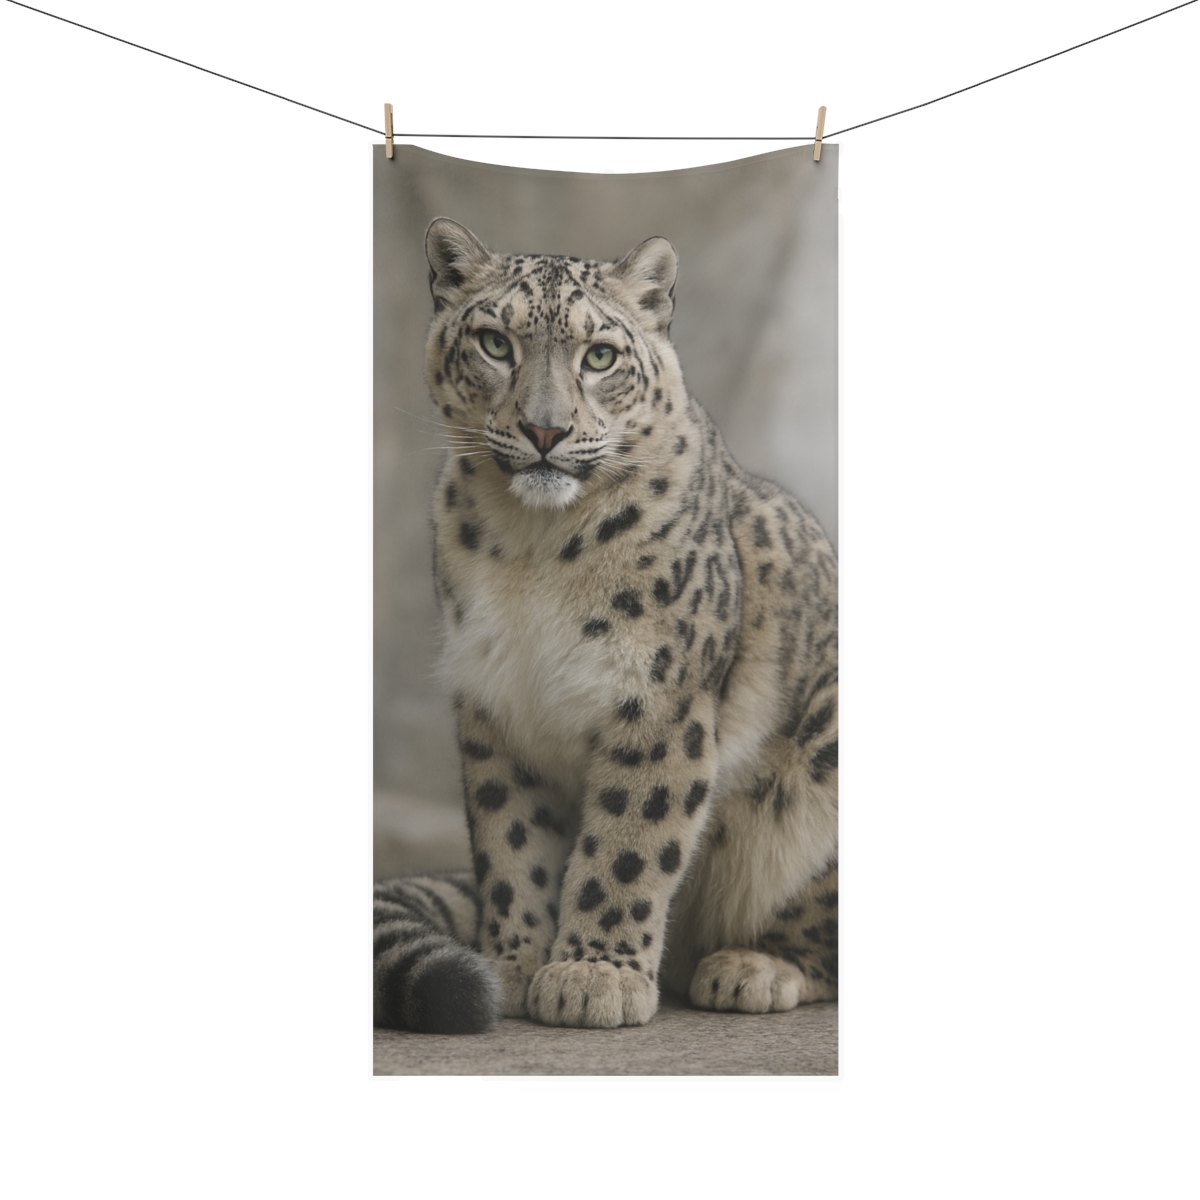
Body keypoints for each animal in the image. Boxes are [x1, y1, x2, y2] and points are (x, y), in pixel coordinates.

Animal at [373, 218, 837, 1033]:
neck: (532, 550)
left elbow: (628, 840)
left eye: (600, 355)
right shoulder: (495, 702)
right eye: (495, 343)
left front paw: (593, 975)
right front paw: (515, 962)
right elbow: (511, 840)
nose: (544, 430)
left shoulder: (659, 700)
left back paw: (750, 968)